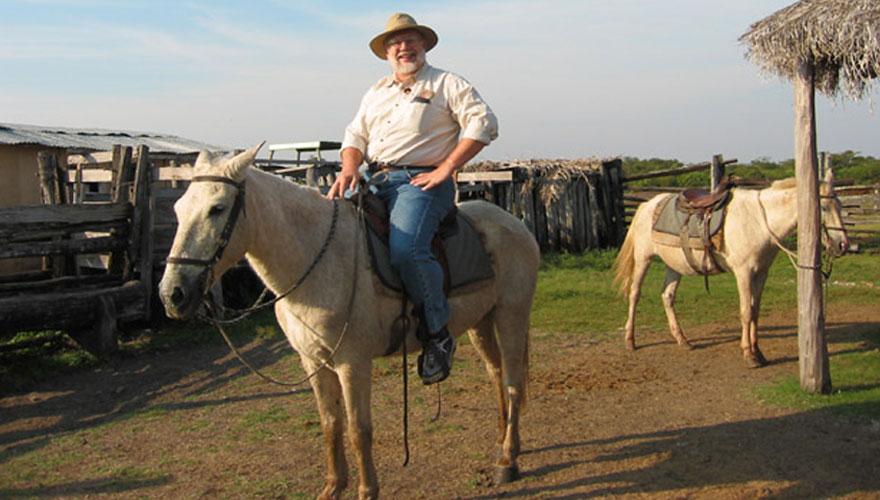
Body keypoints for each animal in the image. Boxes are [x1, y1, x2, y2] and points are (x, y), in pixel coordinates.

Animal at [159, 145, 544, 500]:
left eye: (217, 208)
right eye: (178, 209)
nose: (172, 294)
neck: (318, 257)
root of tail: (515, 224)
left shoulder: (352, 363)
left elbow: (359, 429)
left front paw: (366, 490)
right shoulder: (313, 361)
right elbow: (331, 424)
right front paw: (333, 487)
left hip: (511, 314)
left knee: (513, 382)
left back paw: (508, 461)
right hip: (480, 321)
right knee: (495, 373)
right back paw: (502, 441)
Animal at [612, 172, 844, 368]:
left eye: (840, 205)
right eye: (823, 207)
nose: (843, 244)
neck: (760, 222)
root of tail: (647, 204)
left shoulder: (761, 273)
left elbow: (755, 311)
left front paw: (759, 353)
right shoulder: (744, 272)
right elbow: (746, 312)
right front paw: (749, 355)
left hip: (674, 264)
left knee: (667, 296)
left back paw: (682, 339)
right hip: (644, 259)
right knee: (634, 294)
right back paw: (630, 340)